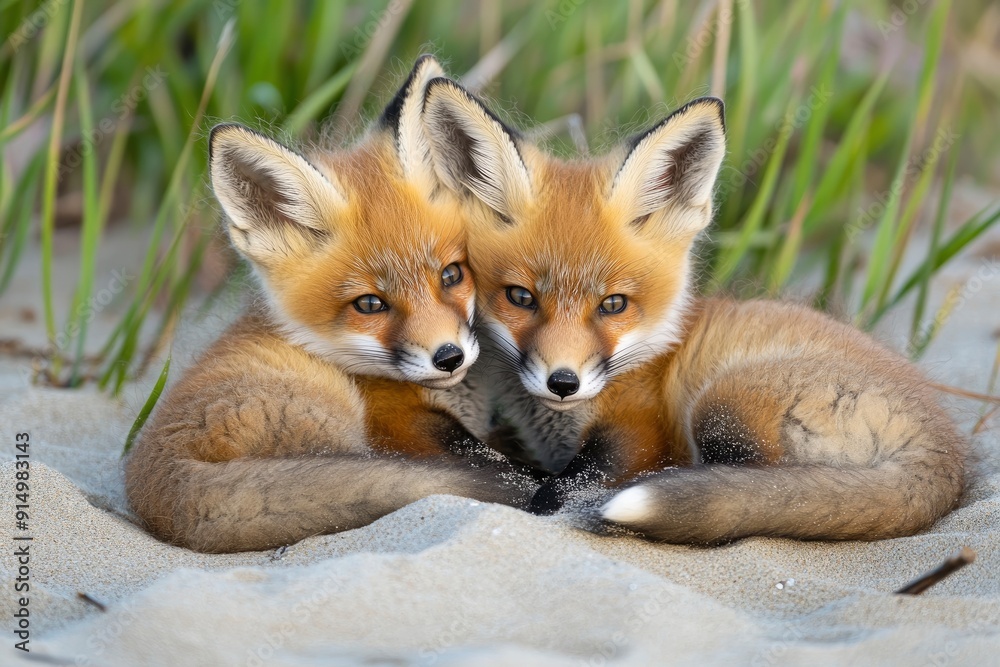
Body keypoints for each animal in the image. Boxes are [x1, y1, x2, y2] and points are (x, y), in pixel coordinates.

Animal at [419, 79, 967, 544]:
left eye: (613, 304)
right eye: (521, 298)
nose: (563, 382)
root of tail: (948, 452)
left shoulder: (641, 429)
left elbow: (571, 481)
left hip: (722, 404)